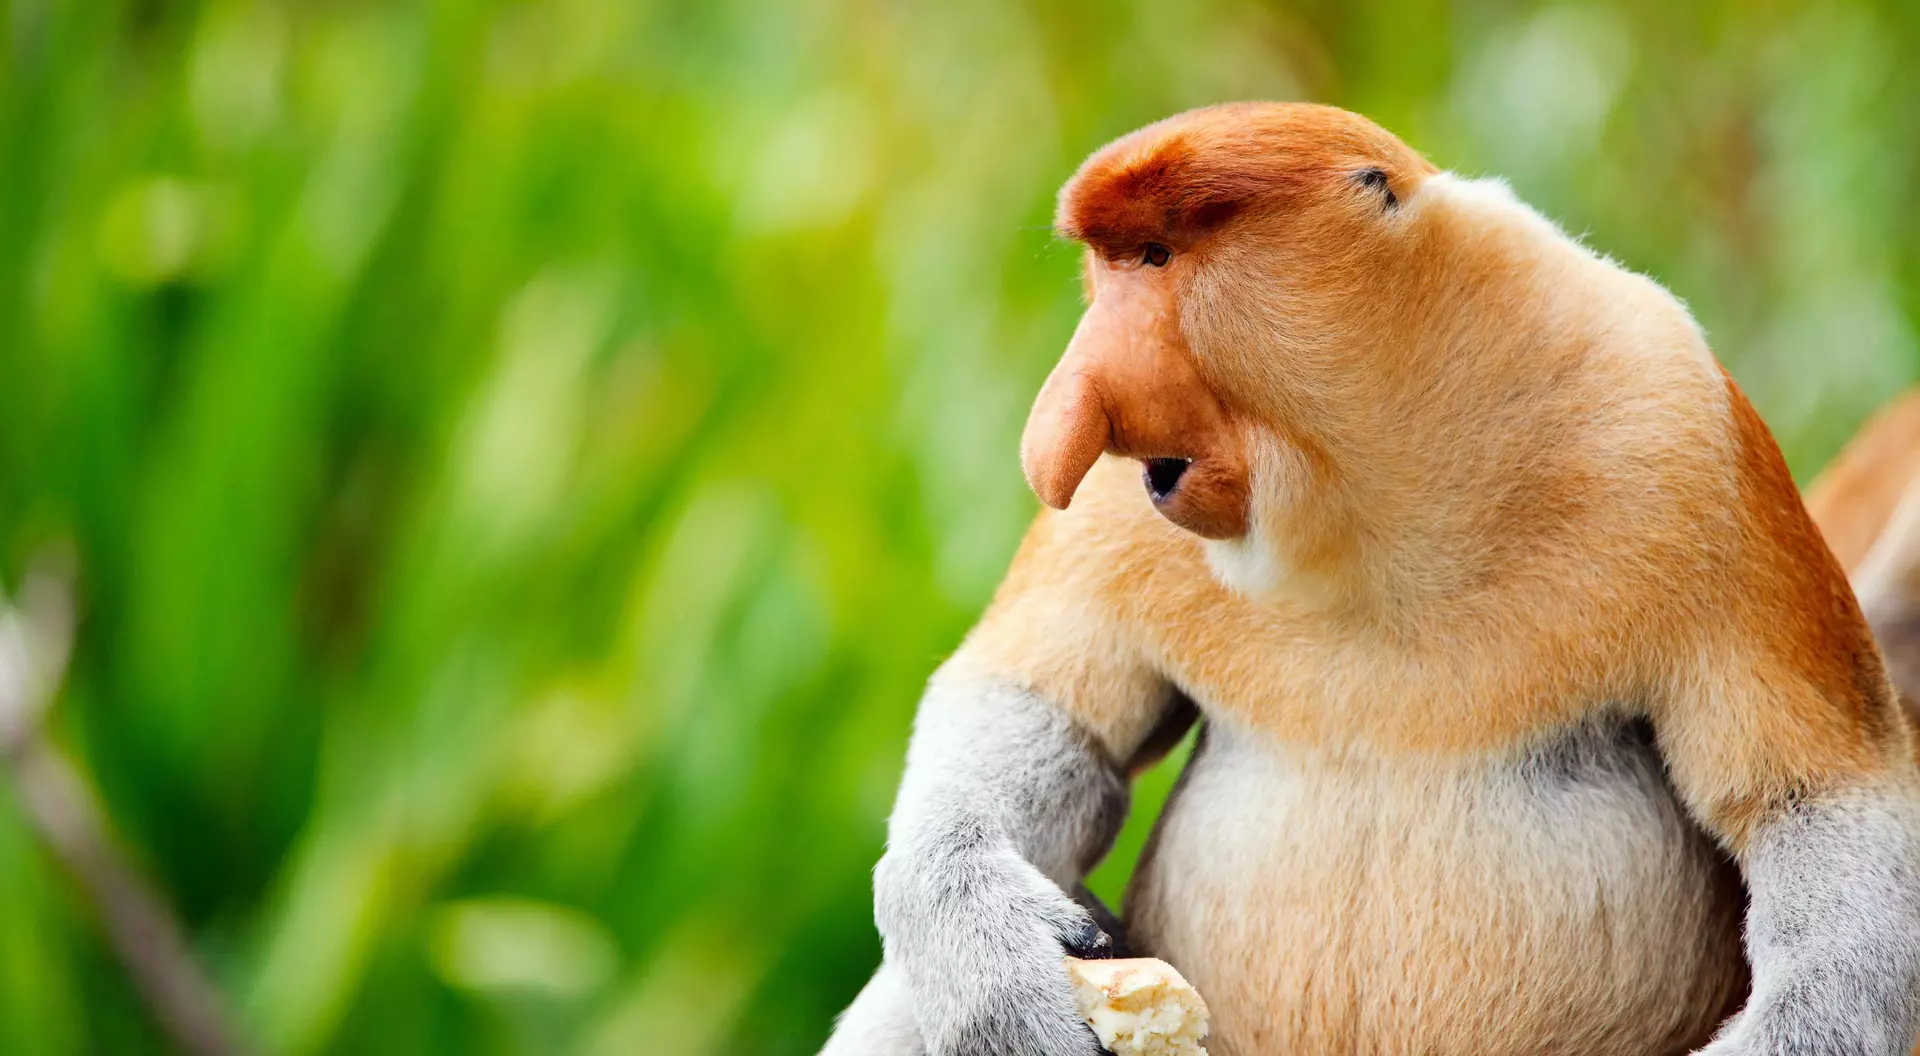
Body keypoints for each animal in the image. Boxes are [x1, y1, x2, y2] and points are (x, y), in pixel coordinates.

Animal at [823, 103, 1920, 1056]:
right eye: (1110, 264)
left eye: (1158, 257)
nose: (1063, 419)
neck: (1375, 503)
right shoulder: (1118, 514)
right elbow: (1040, 706)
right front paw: (991, 965)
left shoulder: (1687, 433)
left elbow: (1819, 798)